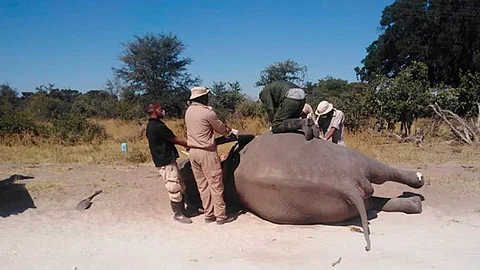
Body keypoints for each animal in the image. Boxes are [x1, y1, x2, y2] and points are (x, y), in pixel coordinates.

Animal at [179, 132, 424, 252]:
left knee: (379, 175)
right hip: (324, 198)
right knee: (373, 196)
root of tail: (347, 183)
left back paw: (419, 184)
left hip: (346, 162)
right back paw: (416, 199)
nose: (182, 164)